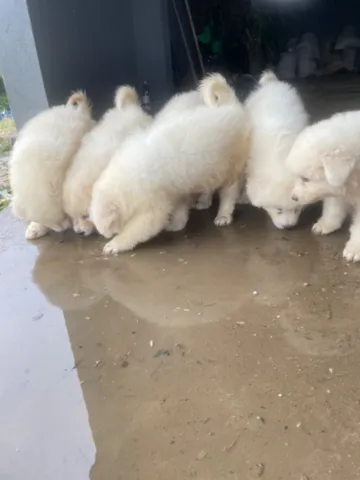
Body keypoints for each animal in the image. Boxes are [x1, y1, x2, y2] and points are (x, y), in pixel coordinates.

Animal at [90, 74, 250, 255]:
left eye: (110, 226)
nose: (108, 235)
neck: (127, 176)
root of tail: (230, 105)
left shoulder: (154, 204)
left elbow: (142, 226)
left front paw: (115, 243)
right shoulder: (176, 190)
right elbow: (180, 209)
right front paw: (177, 224)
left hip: (231, 167)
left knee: (229, 194)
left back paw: (223, 215)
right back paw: (204, 201)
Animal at [288, 110, 360, 262]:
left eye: (306, 179)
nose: (294, 198)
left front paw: (354, 248)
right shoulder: (335, 188)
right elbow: (333, 207)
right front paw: (326, 224)